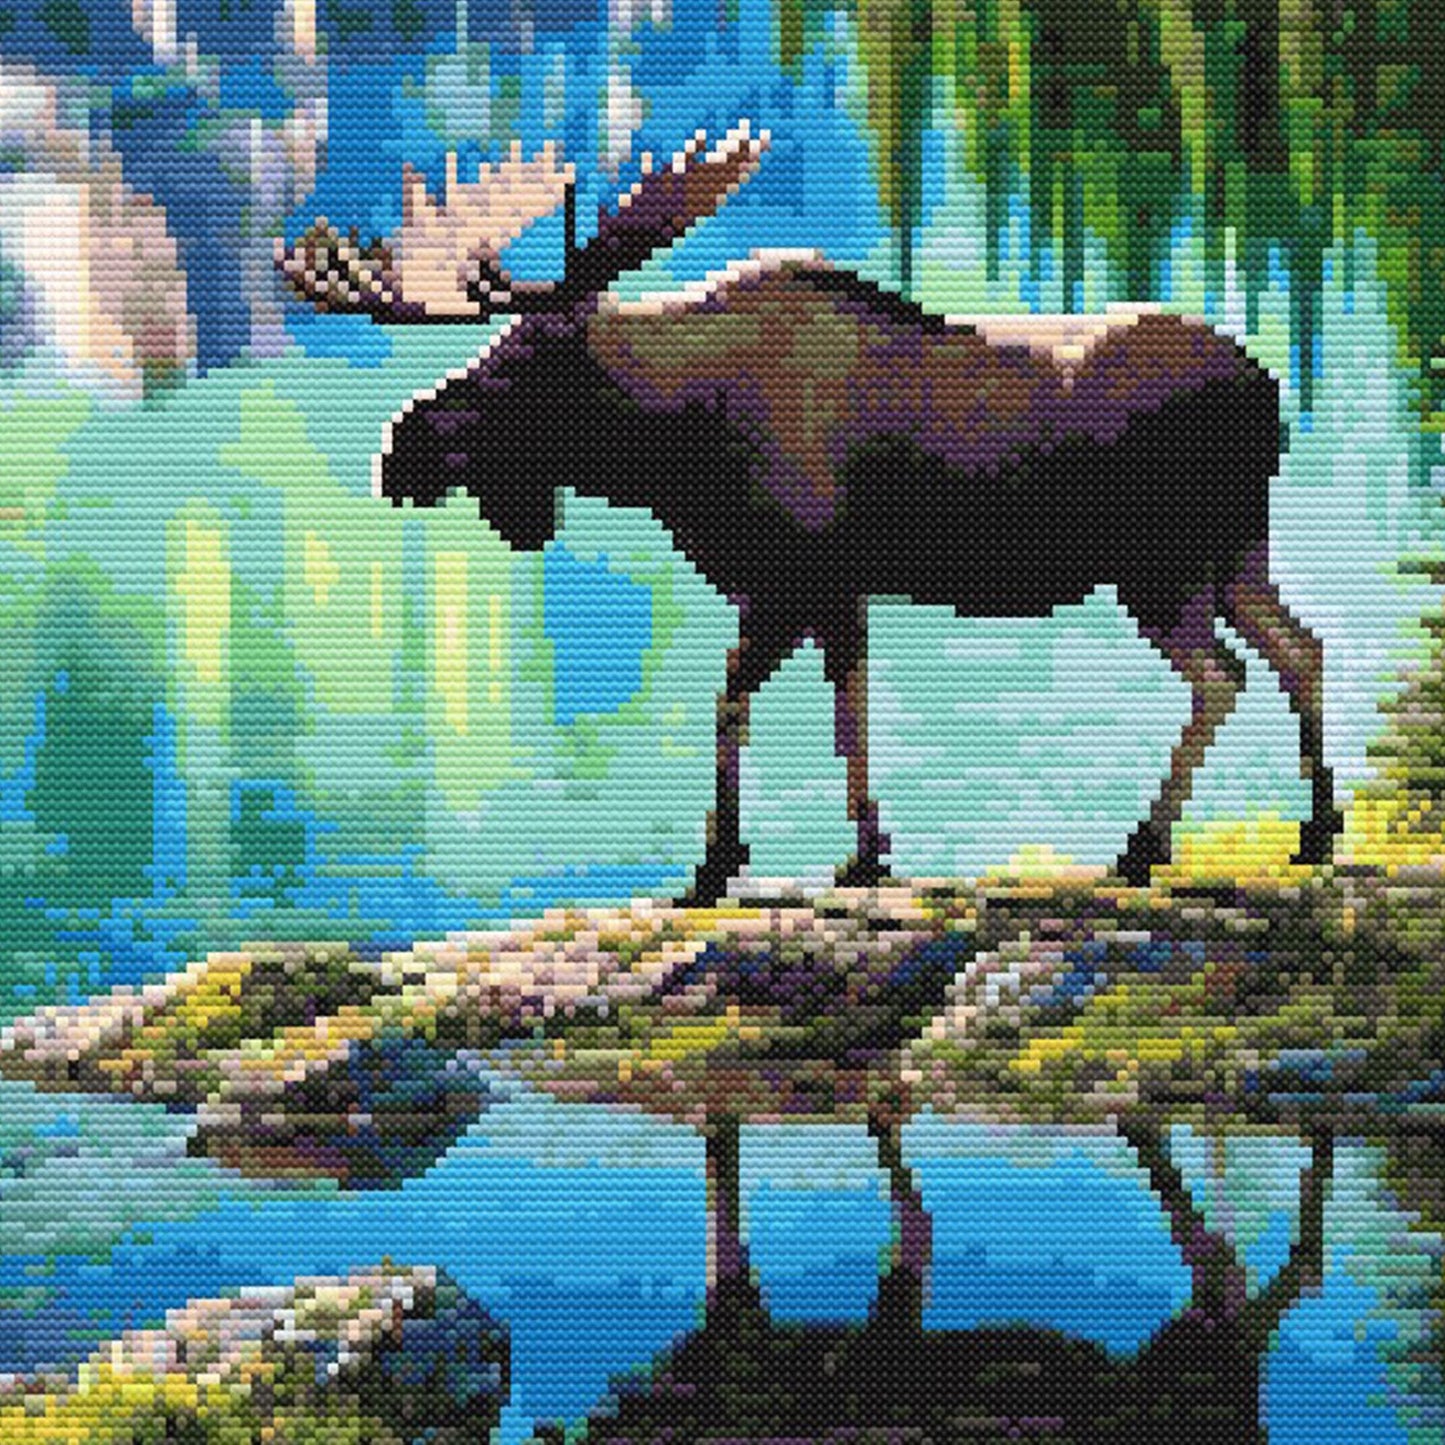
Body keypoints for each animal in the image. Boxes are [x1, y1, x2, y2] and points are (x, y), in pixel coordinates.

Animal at [276, 121, 1339, 908]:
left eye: (519, 361)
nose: (399, 449)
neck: (674, 443)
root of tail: (1273, 397)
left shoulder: (789, 576)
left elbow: (732, 701)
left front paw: (715, 866)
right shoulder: (838, 589)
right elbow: (847, 706)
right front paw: (866, 852)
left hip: (1159, 565)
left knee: (1222, 674)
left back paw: (1141, 846)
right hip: (1235, 552)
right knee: (1301, 646)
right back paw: (1315, 829)